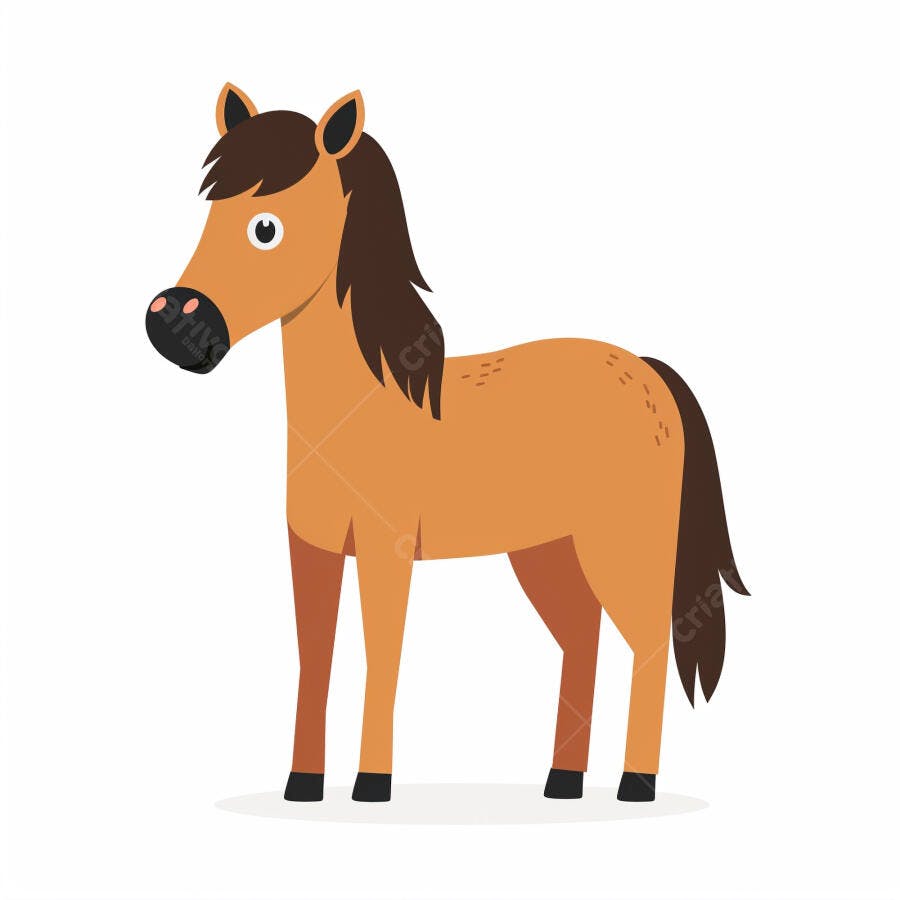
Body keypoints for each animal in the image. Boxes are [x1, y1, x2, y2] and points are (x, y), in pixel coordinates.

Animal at [145, 84, 749, 804]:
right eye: (210, 211)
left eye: (266, 227)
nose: (172, 323)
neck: (357, 407)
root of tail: (650, 371)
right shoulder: (311, 549)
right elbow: (313, 657)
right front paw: (302, 783)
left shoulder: (386, 550)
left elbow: (382, 653)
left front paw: (371, 784)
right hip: (548, 553)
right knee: (583, 638)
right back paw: (561, 783)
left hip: (625, 547)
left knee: (651, 644)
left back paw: (635, 783)